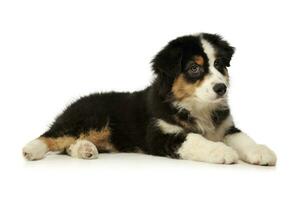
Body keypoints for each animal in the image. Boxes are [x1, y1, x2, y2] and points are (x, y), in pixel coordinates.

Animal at [22, 32, 276, 166]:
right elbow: (194, 138)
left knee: (68, 145)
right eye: (194, 68)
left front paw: (261, 152)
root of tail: (73, 104)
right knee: (53, 135)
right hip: (90, 118)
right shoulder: (159, 134)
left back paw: (85, 149)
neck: (196, 107)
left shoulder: (226, 127)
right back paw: (31, 150)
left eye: (219, 64)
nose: (221, 88)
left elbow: (243, 138)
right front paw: (221, 151)